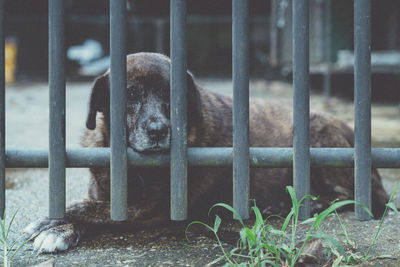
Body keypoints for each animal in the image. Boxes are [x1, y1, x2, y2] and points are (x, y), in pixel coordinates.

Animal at [23, 51, 390, 253]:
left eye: (173, 96)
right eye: (130, 95)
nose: (158, 130)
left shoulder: (156, 208)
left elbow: (92, 210)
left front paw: (50, 222)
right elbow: (92, 205)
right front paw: (58, 227)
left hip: (318, 134)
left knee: (353, 196)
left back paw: (300, 204)